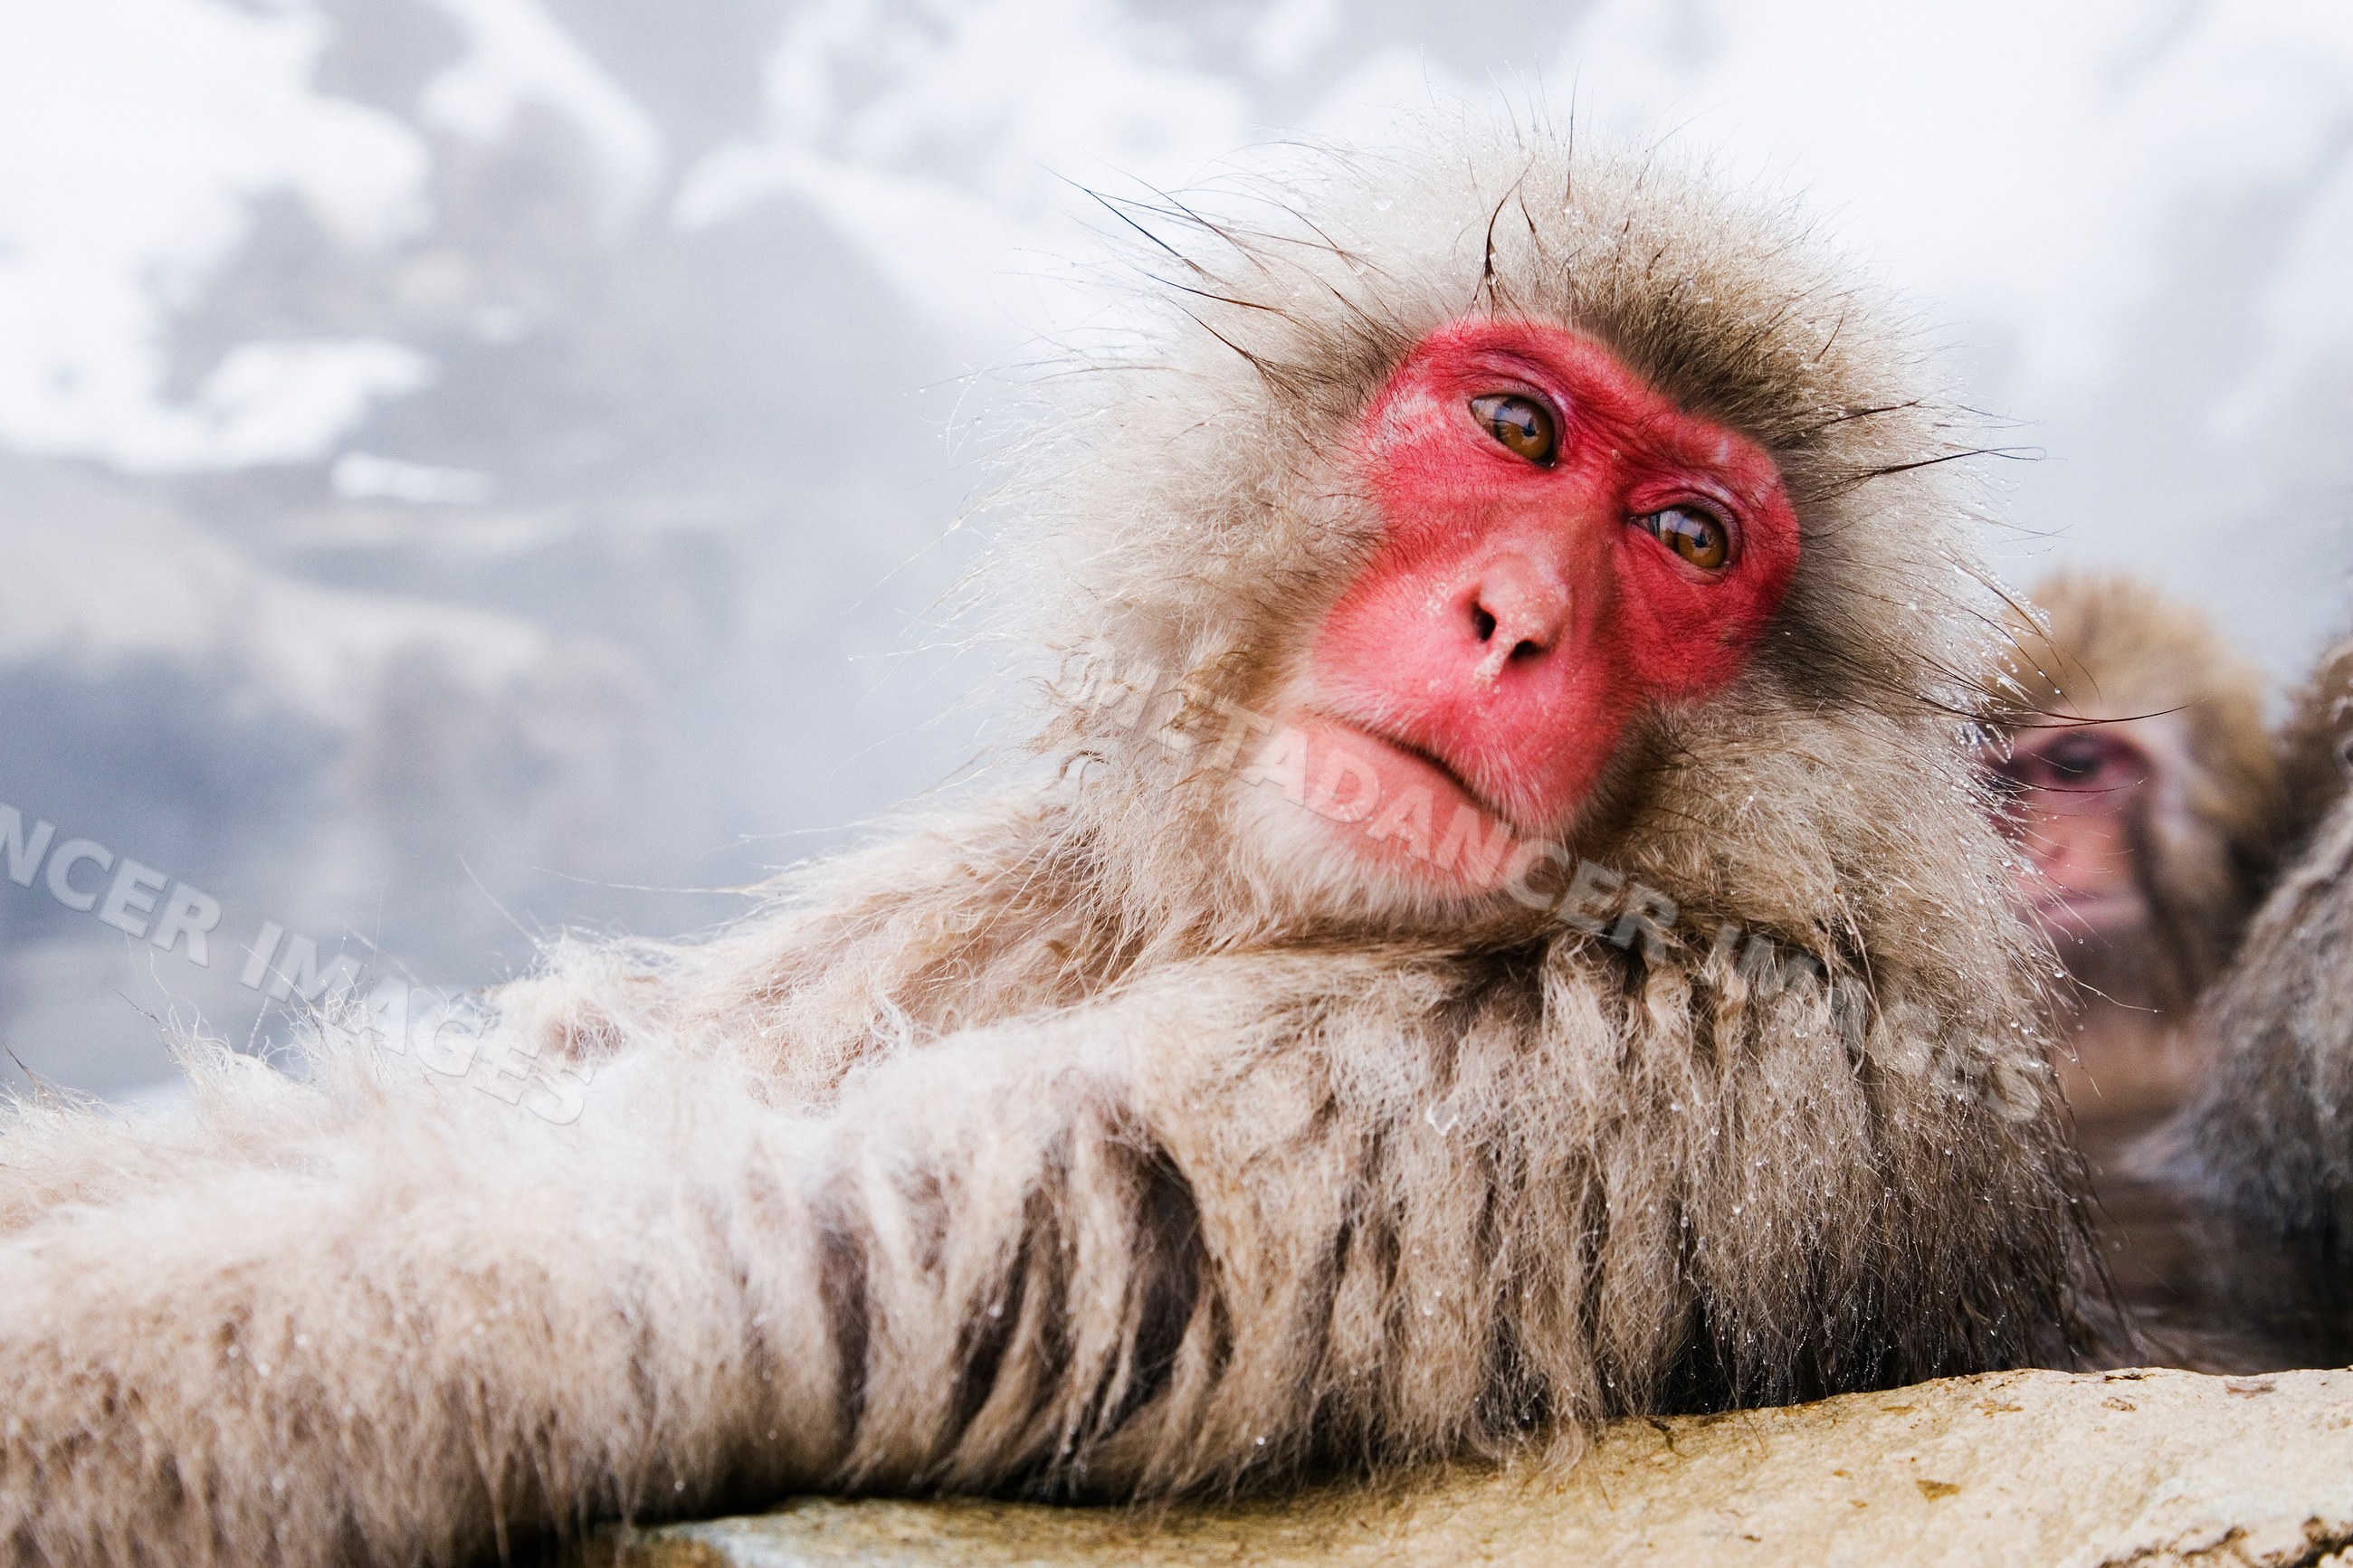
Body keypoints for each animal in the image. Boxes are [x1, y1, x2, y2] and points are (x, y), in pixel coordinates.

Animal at [0, 132, 2094, 1566]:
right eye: (1515, 424)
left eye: (1683, 539)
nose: (1514, 617)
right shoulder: (997, 883)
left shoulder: (1676, 1070)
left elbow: (780, 1238)